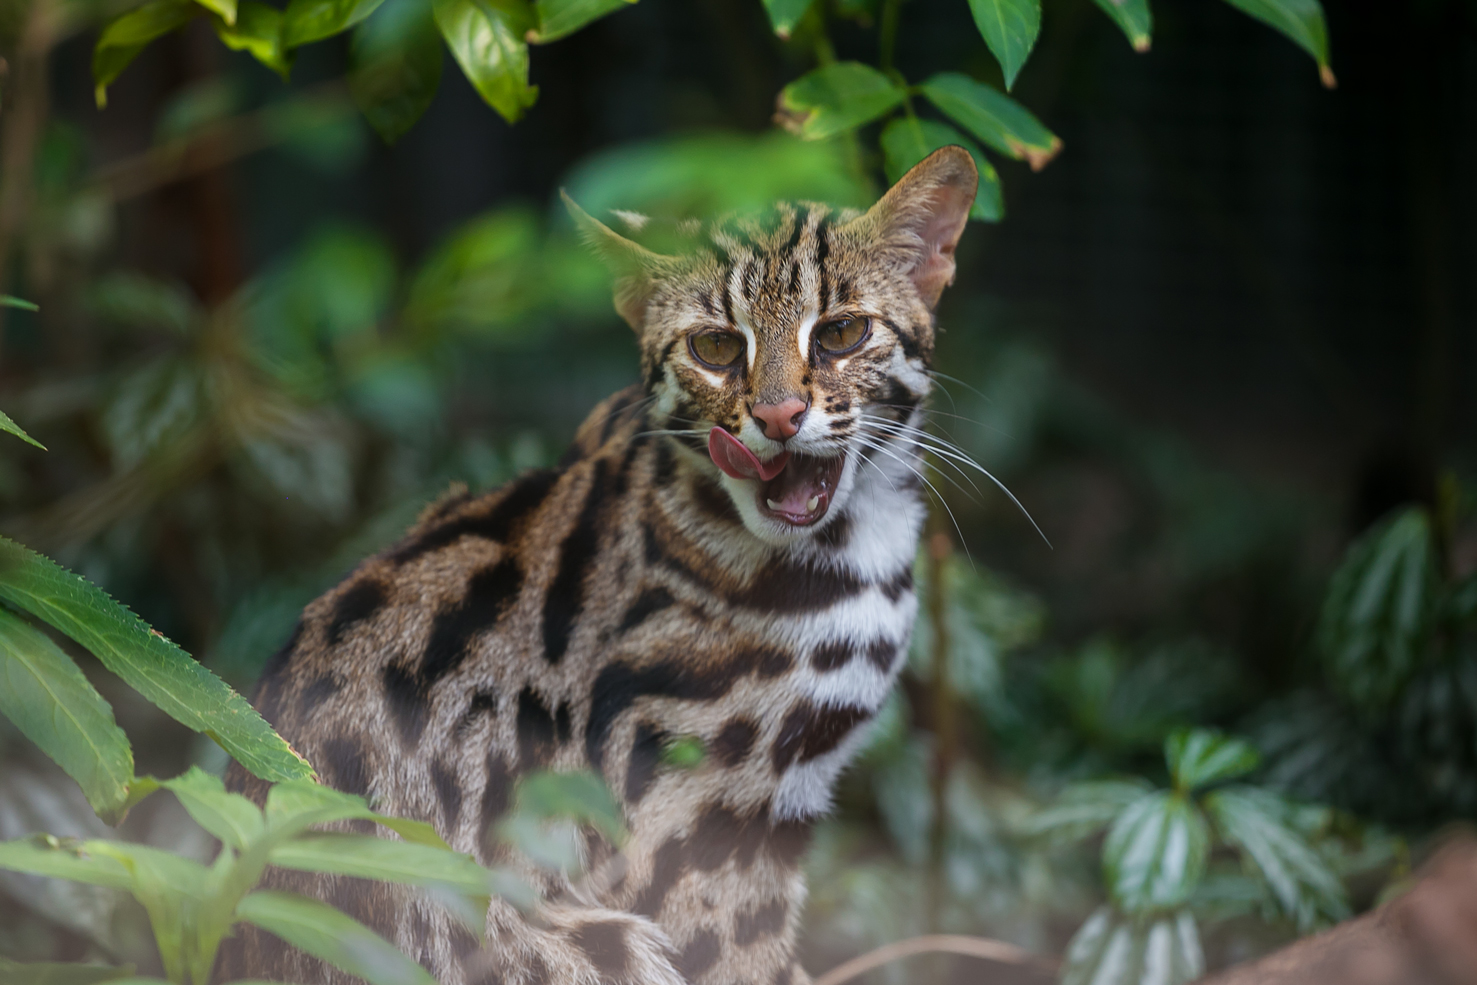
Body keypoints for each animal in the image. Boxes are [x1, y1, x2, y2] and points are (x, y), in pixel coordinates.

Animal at [217, 146, 979, 985]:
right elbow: (748, 957)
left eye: (842, 332)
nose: (778, 416)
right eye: (716, 347)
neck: (852, 545)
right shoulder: (696, 826)